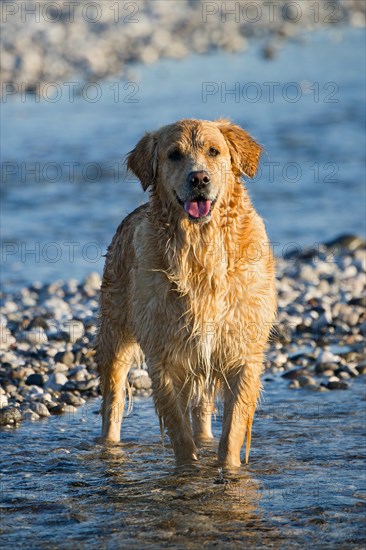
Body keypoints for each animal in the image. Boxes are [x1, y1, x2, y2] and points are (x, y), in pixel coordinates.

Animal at [96, 118, 276, 468]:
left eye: (214, 151)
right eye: (174, 155)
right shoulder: (164, 354)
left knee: (202, 407)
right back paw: (108, 448)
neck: (201, 250)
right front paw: (188, 468)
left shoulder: (242, 351)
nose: (199, 178)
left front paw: (228, 469)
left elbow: (233, 427)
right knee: (112, 402)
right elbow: (178, 428)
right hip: (115, 333)